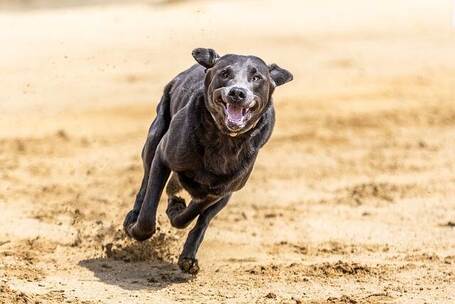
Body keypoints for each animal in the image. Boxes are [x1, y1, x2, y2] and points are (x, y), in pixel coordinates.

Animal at [123, 48, 294, 274]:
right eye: (225, 73)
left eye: (257, 78)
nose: (237, 93)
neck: (223, 139)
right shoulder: (162, 156)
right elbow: (148, 213)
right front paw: (136, 229)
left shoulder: (221, 191)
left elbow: (193, 215)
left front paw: (177, 212)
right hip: (154, 137)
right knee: (145, 184)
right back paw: (133, 217)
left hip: (225, 195)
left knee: (201, 219)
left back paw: (188, 256)